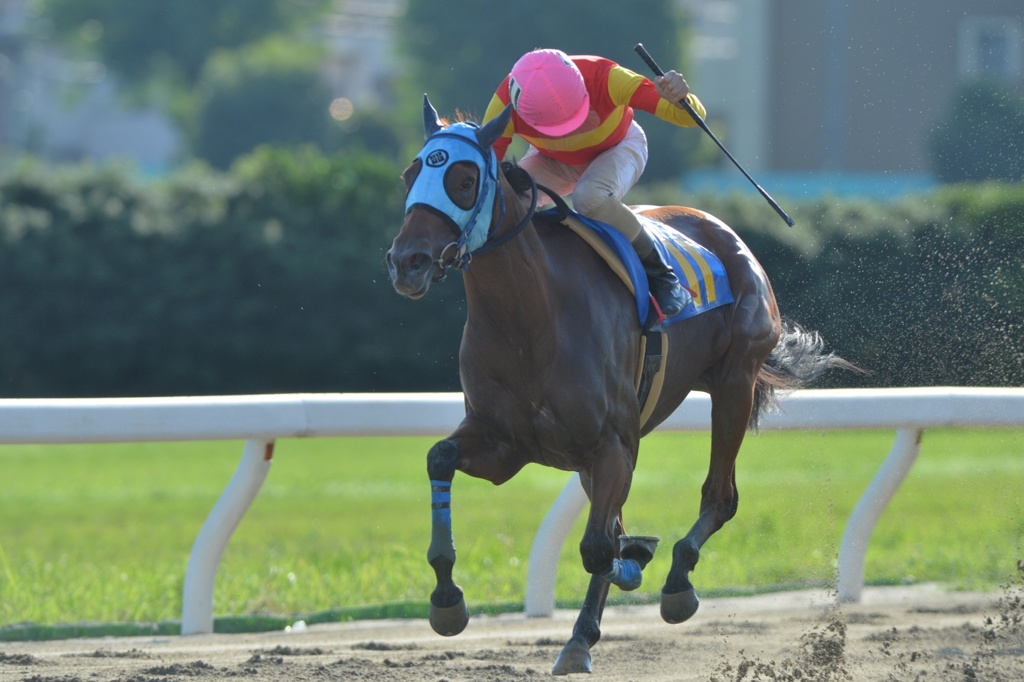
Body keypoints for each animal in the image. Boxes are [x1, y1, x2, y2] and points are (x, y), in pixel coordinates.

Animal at [385, 96, 853, 675]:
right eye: (410, 175)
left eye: (465, 179)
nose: (407, 262)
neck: (530, 317)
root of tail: (723, 230)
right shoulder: (505, 444)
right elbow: (440, 458)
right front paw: (447, 599)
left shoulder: (612, 443)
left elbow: (597, 548)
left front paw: (606, 603)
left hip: (734, 381)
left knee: (720, 496)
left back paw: (675, 582)